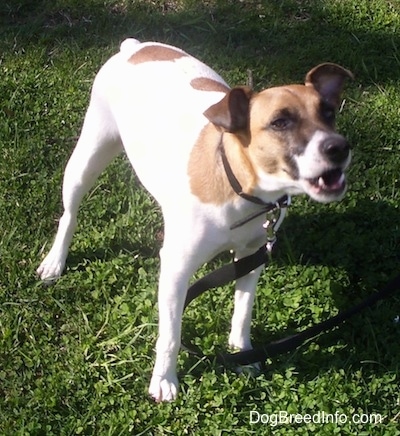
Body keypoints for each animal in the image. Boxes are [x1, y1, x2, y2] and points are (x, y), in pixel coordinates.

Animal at [36, 38, 352, 402]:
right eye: (280, 123)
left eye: (328, 113)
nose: (339, 147)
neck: (237, 185)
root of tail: (134, 46)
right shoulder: (175, 270)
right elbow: (171, 335)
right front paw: (164, 379)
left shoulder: (252, 257)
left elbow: (242, 312)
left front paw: (242, 354)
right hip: (89, 154)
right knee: (69, 214)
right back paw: (55, 260)